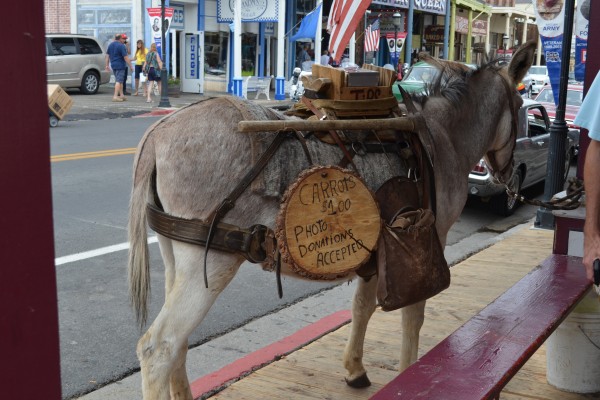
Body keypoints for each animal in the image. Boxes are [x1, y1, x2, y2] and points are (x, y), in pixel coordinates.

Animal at [127, 41, 535, 399]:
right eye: (521, 106)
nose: (511, 175)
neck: (442, 140)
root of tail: (159, 132)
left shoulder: (377, 248)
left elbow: (362, 307)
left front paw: (355, 369)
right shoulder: (429, 242)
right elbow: (412, 317)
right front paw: (408, 373)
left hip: (178, 253)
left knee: (179, 345)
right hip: (212, 263)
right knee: (160, 348)